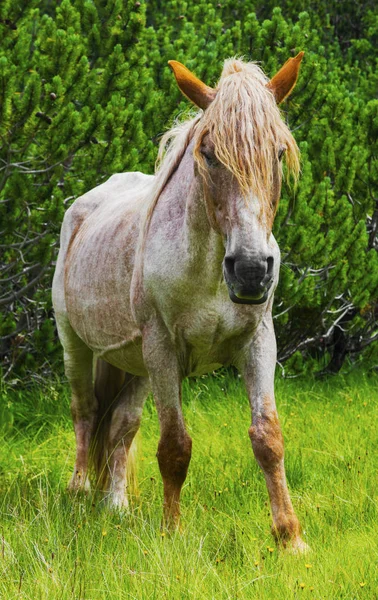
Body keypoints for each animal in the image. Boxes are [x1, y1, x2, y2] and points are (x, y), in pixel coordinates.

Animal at [52, 54, 308, 552]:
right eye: (208, 154)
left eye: (277, 153)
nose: (251, 269)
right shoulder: (163, 349)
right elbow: (174, 445)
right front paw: (171, 534)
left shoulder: (257, 343)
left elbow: (268, 438)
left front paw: (290, 539)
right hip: (78, 346)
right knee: (85, 412)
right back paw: (78, 492)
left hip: (134, 364)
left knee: (121, 425)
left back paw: (116, 506)